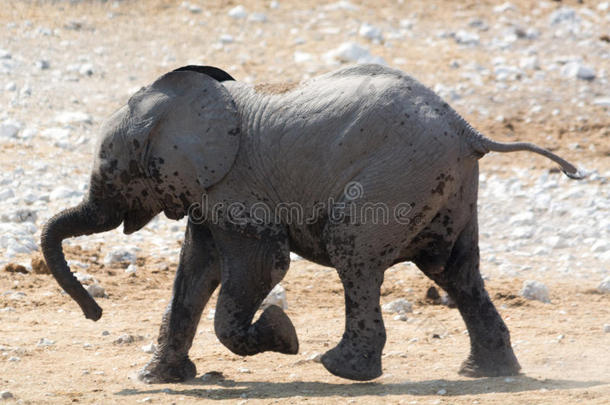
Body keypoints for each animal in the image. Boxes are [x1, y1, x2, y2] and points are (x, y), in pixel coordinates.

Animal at [40, 64, 580, 382]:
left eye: (109, 170)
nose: (95, 314)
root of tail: (467, 128)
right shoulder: (208, 193)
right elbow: (194, 271)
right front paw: (156, 379)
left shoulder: (236, 187)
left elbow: (262, 266)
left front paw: (282, 334)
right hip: (447, 186)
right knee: (454, 271)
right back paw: (487, 374)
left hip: (399, 173)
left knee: (354, 251)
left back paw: (341, 369)